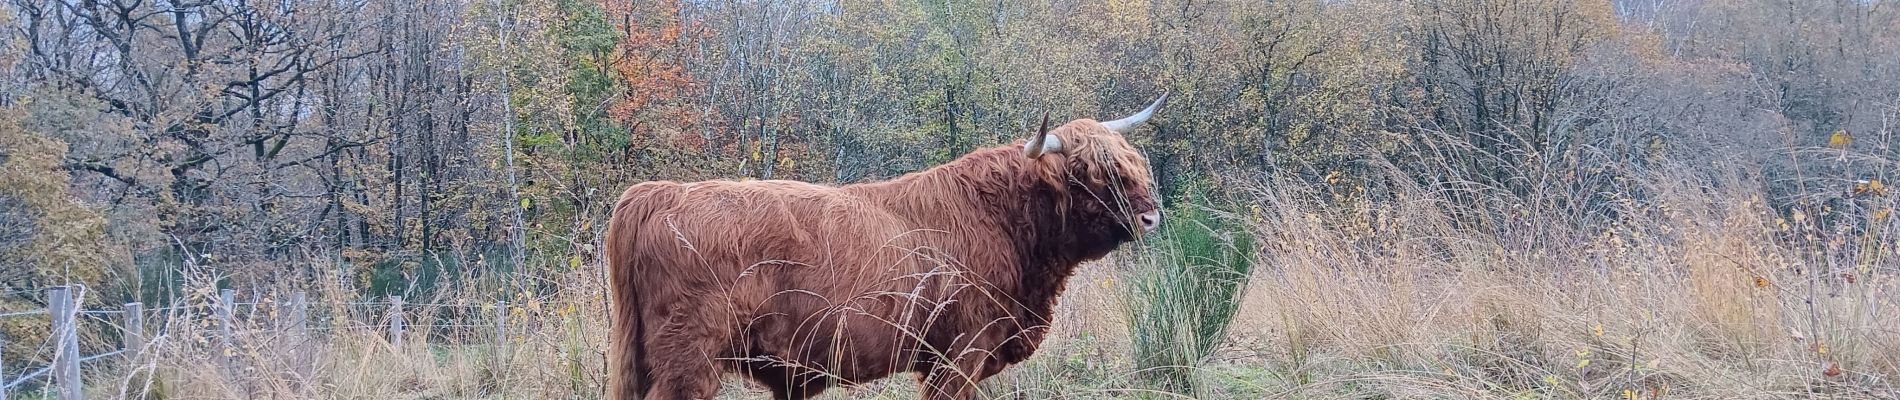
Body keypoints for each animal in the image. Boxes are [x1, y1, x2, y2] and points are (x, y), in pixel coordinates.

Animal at [608, 94, 1162, 400]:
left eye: (1131, 161)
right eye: (1089, 172)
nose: (1151, 216)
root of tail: (660, 192)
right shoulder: (959, 355)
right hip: (689, 361)